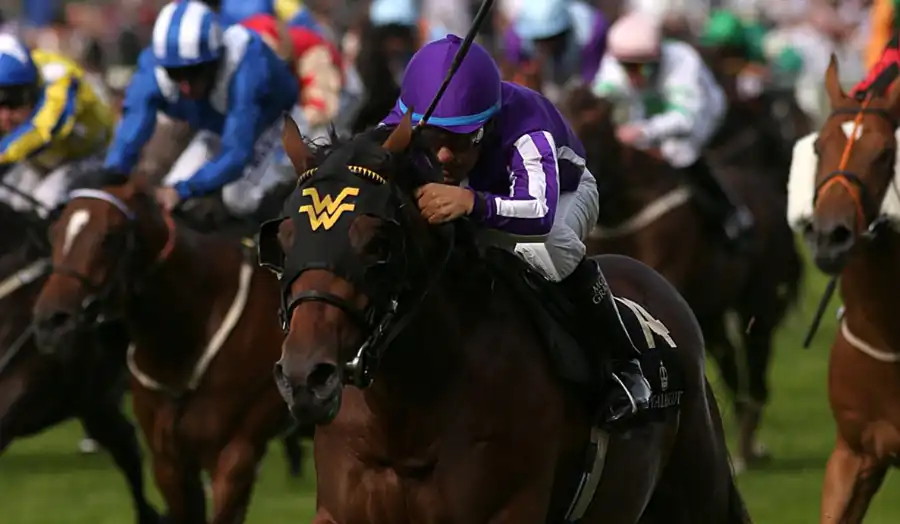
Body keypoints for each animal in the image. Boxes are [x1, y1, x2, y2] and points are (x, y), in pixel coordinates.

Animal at [562, 86, 803, 472]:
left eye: (593, 127)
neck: (625, 207)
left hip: (759, 302)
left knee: (755, 364)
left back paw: (748, 444)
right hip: (713, 311)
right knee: (729, 360)